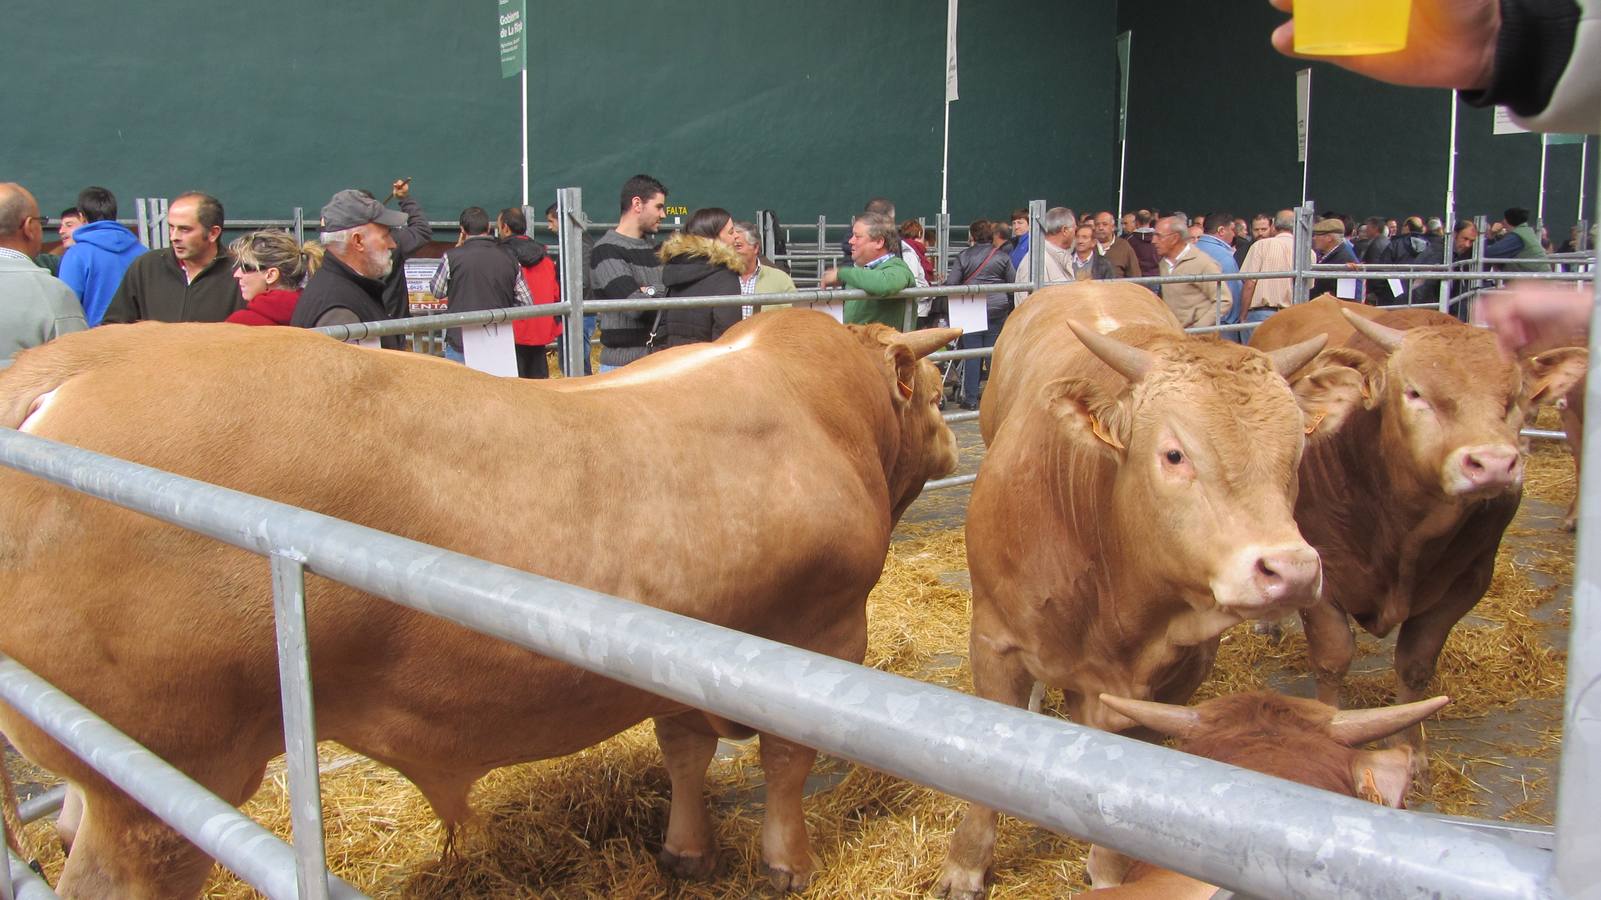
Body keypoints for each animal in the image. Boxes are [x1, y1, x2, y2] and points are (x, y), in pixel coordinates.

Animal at [0, 305, 954, 890]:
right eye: (937, 392)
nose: (950, 440)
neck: (819, 409)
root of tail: (81, 362)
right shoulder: (824, 629)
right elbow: (787, 761)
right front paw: (788, 864)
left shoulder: (685, 639)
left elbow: (683, 746)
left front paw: (685, 853)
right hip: (163, 777)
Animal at [934, 281, 1344, 896]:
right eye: (1174, 454)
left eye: (1296, 453)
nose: (1292, 570)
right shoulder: (994, 641)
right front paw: (965, 864)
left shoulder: (1176, 677)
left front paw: (1109, 873)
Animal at [1248, 297, 1588, 768]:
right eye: (1414, 392)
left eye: (1515, 397)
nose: (1493, 463)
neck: (1405, 532)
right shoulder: (1322, 572)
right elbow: (1333, 657)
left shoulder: (1466, 583)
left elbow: (1415, 665)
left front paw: (1411, 750)